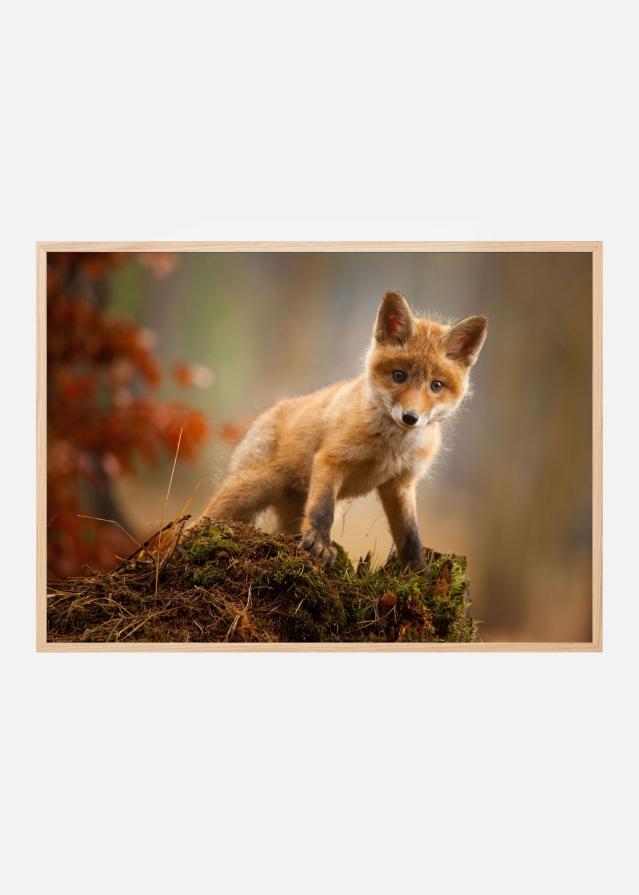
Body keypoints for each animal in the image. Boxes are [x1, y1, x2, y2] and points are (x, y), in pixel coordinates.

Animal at [203, 290, 487, 569]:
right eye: (399, 376)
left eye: (436, 385)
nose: (410, 417)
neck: (391, 448)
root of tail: (268, 412)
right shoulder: (331, 460)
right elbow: (322, 510)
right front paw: (320, 544)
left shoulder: (400, 483)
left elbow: (410, 535)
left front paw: (417, 571)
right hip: (250, 489)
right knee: (204, 519)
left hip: (287, 512)